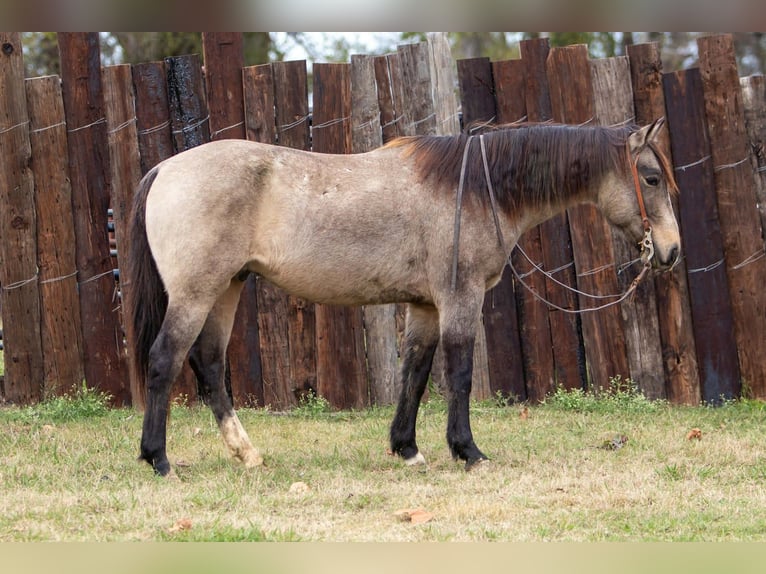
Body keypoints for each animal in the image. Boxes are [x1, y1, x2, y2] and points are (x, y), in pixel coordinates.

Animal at [124, 118, 681, 477]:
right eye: (652, 179)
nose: (671, 251)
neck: (475, 188)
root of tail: (164, 170)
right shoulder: (459, 298)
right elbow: (458, 373)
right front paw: (468, 451)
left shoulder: (425, 306)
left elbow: (416, 371)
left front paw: (407, 448)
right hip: (197, 293)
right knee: (165, 359)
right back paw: (159, 460)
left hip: (226, 288)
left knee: (209, 363)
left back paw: (246, 454)